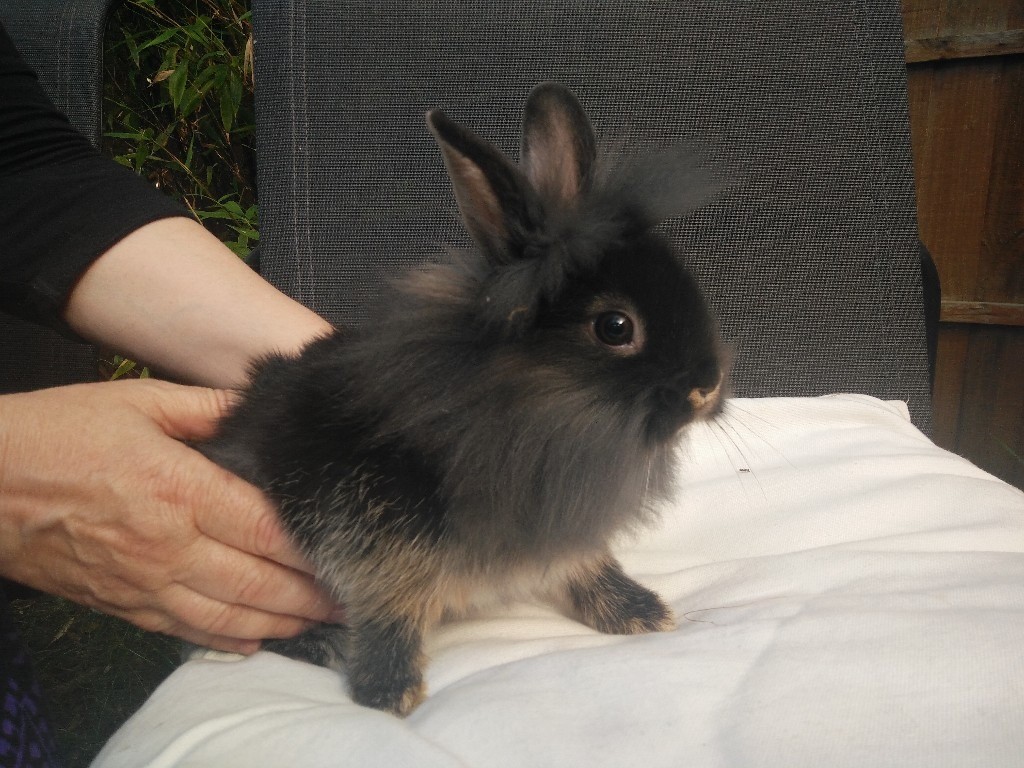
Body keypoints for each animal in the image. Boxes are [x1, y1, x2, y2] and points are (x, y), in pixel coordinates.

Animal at [199, 82, 724, 716]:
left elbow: (586, 564)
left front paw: (640, 611)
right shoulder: (374, 532)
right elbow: (388, 607)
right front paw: (389, 690)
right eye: (616, 327)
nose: (708, 387)